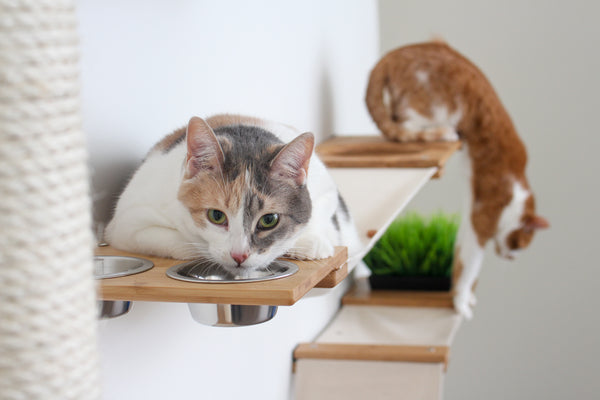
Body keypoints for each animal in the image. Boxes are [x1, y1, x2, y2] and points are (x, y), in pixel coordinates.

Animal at [104, 115, 360, 276]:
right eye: (216, 216)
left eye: (269, 220)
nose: (239, 255)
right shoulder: (128, 224)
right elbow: (187, 245)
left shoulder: (326, 189)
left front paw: (311, 242)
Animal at [366, 42, 548, 318]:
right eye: (520, 245)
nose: (512, 258)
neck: (519, 187)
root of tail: (392, 55)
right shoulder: (483, 217)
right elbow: (471, 263)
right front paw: (461, 302)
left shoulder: (471, 208)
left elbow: (460, 254)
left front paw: (465, 296)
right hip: (433, 107)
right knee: (403, 125)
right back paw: (444, 133)